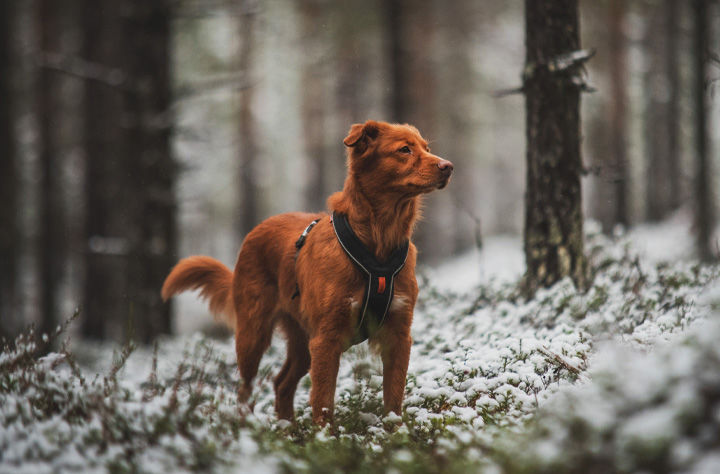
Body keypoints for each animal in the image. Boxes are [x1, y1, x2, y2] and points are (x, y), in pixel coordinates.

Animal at [165, 120, 456, 424]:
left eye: (426, 148)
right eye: (404, 150)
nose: (448, 166)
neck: (377, 243)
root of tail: (257, 230)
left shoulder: (398, 335)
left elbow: (393, 399)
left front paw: (393, 431)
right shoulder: (326, 339)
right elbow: (323, 401)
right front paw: (325, 436)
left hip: (302, 340)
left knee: (281, 383)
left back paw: (287, 428)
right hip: (253, 334)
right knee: (245, 389)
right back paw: (246, 428)